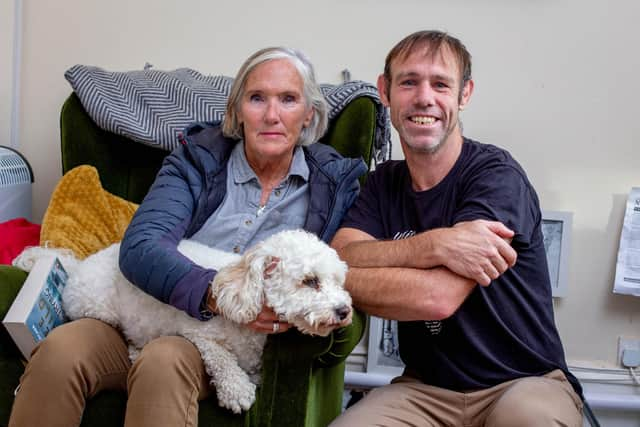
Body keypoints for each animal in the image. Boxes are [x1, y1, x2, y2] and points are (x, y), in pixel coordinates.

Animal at [12, 231, 352, 414]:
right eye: (310, 281)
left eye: (337, 281)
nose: (344, 310)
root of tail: (77, 267)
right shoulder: (197, 333)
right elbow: (221, 357)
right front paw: (236, 390)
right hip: (98, 307)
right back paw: (136, 349)